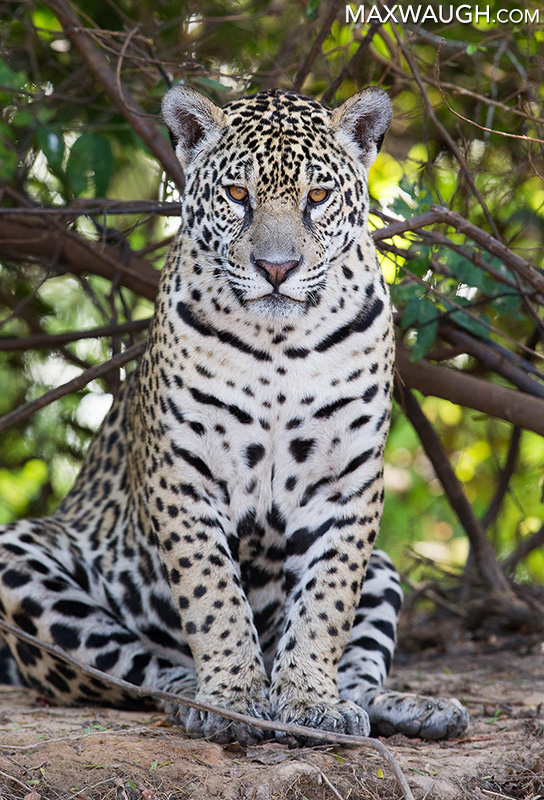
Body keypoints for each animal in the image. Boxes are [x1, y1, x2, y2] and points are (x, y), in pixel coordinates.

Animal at [0, 86, 469, 745]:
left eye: (317, 197)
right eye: (238, 194)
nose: (276, 268)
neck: (280, 343)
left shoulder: (348, 485)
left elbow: (325, 606)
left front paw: (309, 701)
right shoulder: (184, 475)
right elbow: (212, 594)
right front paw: (236, 698)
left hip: (382, 568)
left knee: (360, 666)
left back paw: (401, 707)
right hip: (23, 558)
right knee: (135, 667)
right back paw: (192, 696)